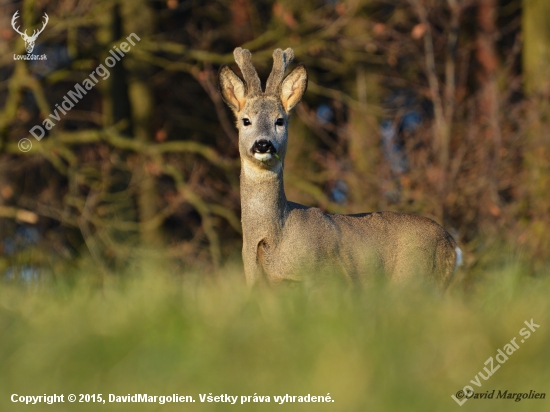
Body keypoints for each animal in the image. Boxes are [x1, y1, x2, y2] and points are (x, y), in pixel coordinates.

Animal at [218, 47, 464, 290]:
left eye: (280, 120)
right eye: (245, 120)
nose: (263, 144)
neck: (275, 237)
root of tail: (453, 245)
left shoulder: (326, 277)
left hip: (416, 277)